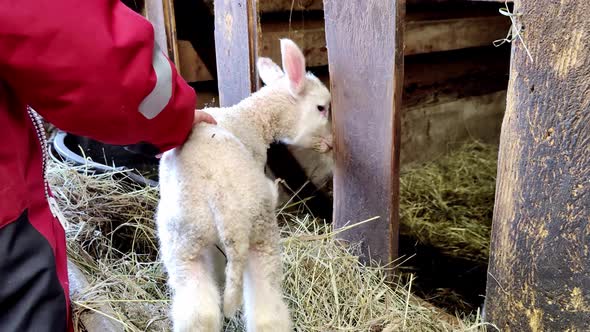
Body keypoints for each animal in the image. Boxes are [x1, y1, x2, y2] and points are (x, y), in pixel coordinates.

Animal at [156, 39, 332, 332]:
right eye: (321, 108)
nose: (331, 144)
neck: (252, 118)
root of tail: (222, 200)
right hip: (260, 232)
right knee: (266, 305)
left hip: (183, 240)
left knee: (198, 311)